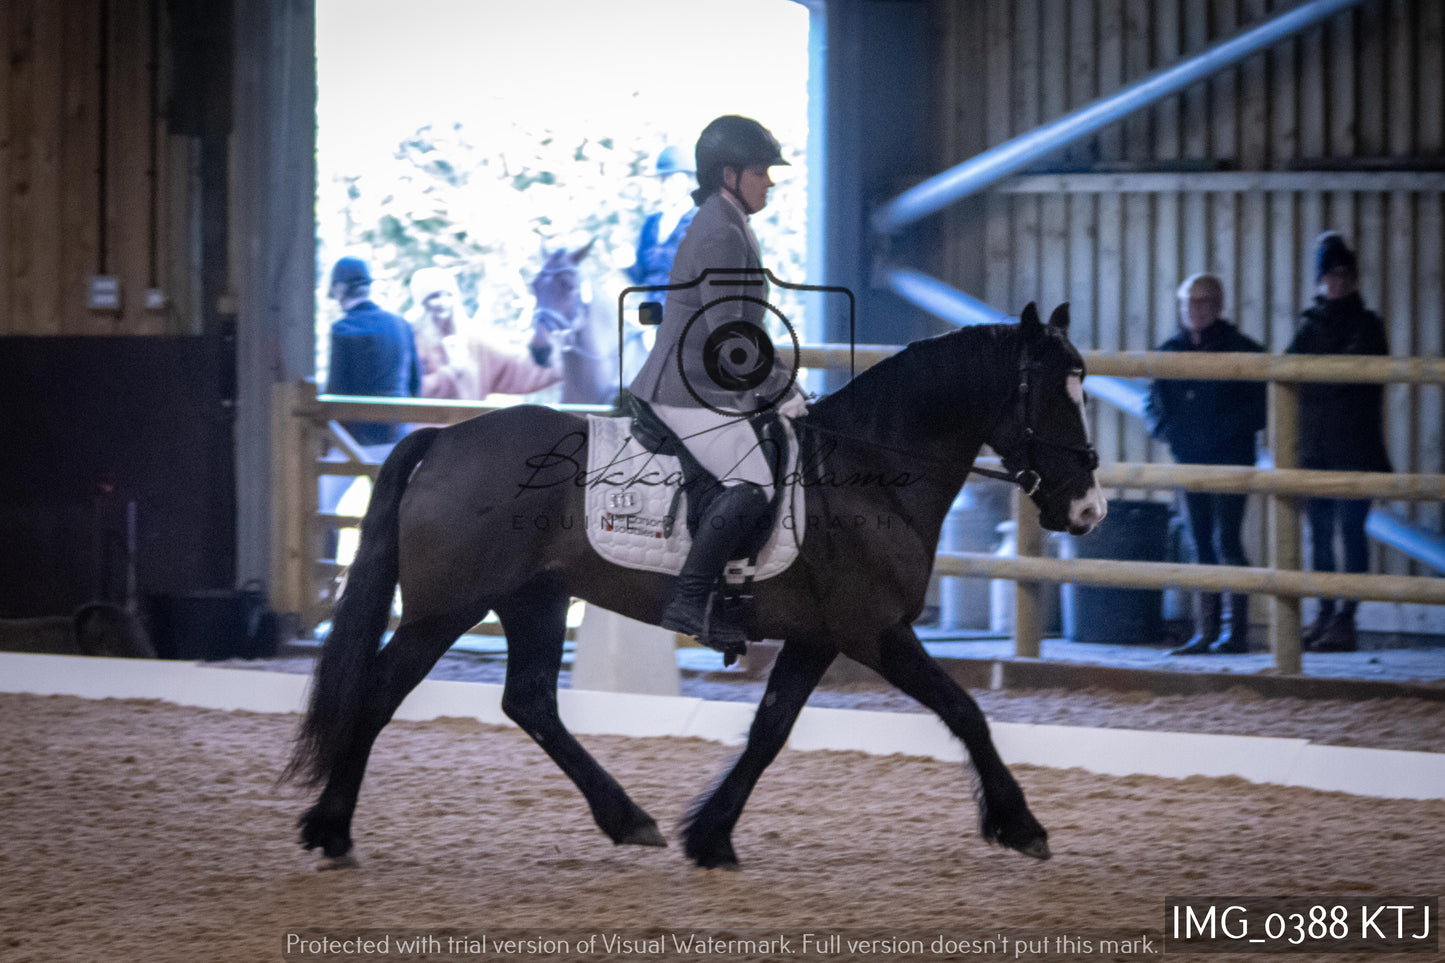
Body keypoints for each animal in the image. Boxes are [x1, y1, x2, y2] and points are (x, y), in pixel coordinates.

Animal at [287, 302, 1109, 867]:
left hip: (534, 598)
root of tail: (444, 437)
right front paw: (1021, 825)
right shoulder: (874, 631)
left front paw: (711, 836)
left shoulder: (818, 638)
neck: (865, 470)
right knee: (380, 691)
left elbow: (769, 730)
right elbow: (964, 711)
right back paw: (330, 829)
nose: (1088, 509)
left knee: (530, 701)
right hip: (445, 609)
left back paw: (629, 819)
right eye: (1052, 392)